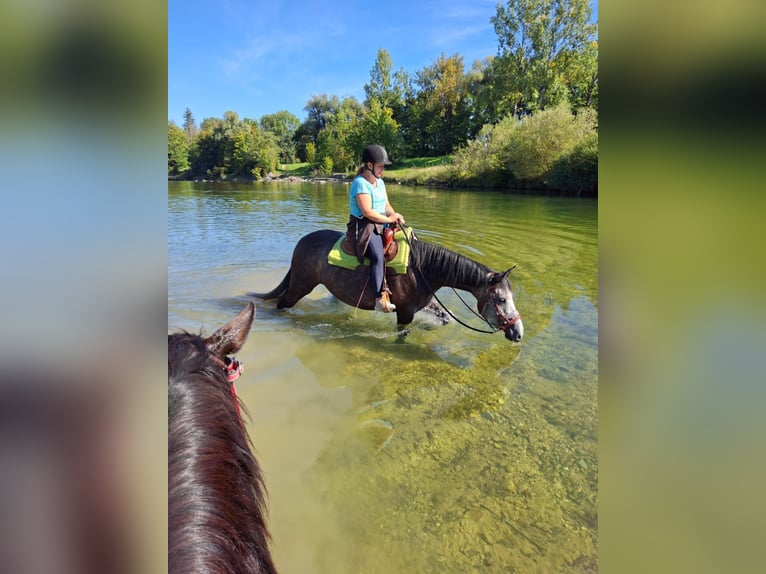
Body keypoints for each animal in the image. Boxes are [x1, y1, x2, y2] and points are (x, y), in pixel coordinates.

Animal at [250, 229, 523, 342]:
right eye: (501, 299)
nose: (518, 332)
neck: (423, 269)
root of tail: (302, 243)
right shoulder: (405, 312)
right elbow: (402, 335)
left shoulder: (420, 306)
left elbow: (441, 316)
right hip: (300, 285)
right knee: (282, 304)